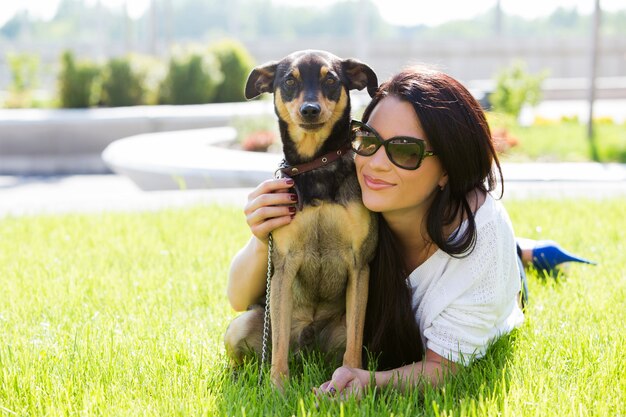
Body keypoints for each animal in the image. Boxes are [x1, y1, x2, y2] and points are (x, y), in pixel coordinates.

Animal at [224, 50, 376, 388]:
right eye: (289, 82)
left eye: (331, 80)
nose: (309, 109)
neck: (315, 164)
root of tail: (309, 344)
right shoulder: (284, 265)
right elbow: (278, 345)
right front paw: (277, 388)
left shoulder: (359, 264)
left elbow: (355, 341)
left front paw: (349, 379)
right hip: (242, 326)